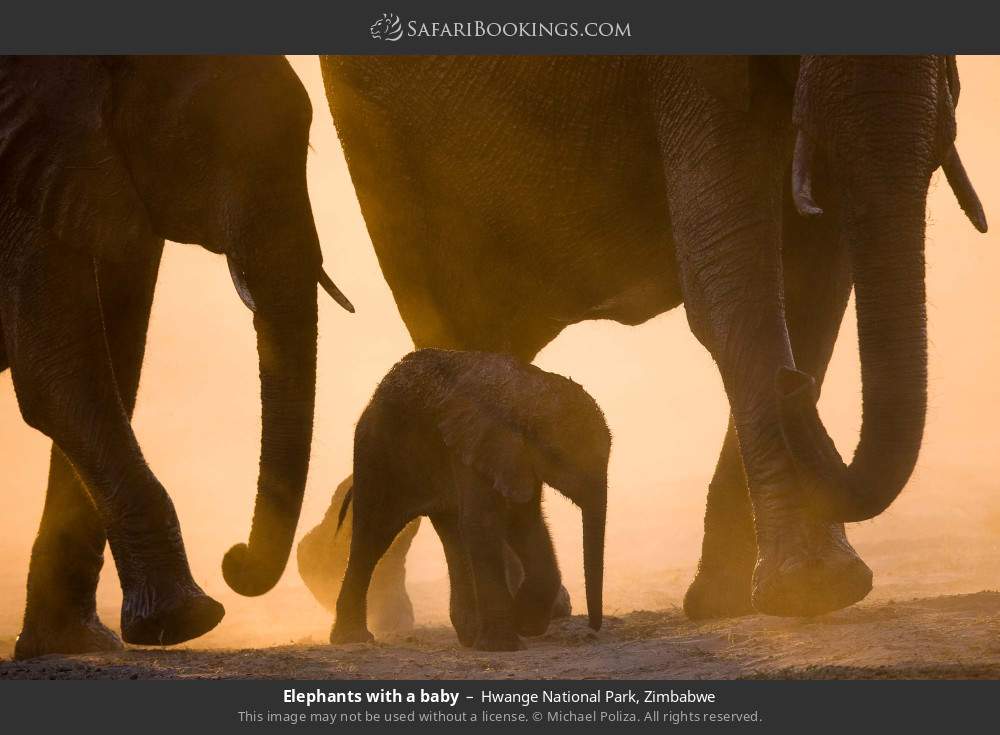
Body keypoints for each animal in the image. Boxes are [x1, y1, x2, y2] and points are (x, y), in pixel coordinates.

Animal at [0, 56, 351, 659]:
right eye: (206, 139)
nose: (234, 558)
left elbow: (114, 363)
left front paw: (77, 644)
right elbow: (60, 380)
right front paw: (187, 620)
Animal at [328, 349, 608, 651]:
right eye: (558, 455)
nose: (593, 629)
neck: (525, 389)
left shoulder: (516, 456)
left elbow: (523, 522)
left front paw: (524, 623)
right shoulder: (474, 443)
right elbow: (485, 521)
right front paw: (504, 645)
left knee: (451, 532)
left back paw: (470, 637)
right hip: (377, 451)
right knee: (374, 535)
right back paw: (351, 638)